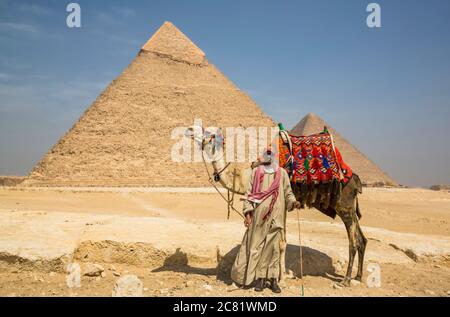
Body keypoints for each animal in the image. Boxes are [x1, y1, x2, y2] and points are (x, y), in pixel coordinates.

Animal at [185, 124, 368, 286]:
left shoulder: (283, 203)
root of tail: (355, 178)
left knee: (352, 242)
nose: (189, 129)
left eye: (210, 133)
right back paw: (358, 277)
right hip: (350, 207)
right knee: (361, 239)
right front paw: (281, 275)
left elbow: (281, 243)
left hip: (344, 205)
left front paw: (282, 279)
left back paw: (346, 280)